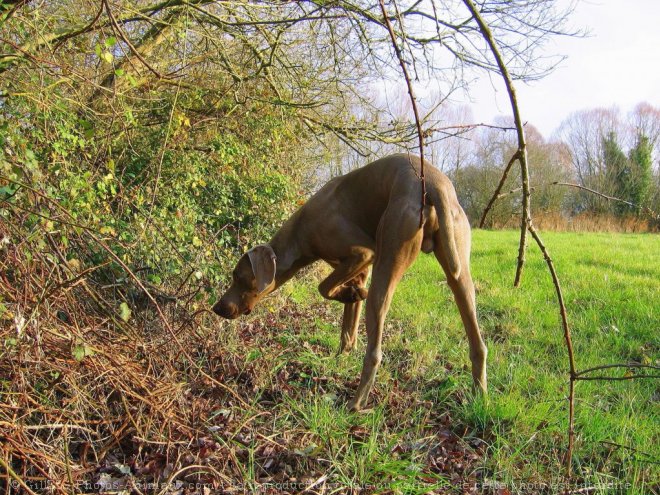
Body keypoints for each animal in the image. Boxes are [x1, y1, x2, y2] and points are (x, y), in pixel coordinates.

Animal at [214, 154, 488, 410]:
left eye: (237, 276)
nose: (217, 307)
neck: (299, 233)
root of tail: (432, 182)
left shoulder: (364, 253)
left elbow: (324, 287)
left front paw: (351, 296)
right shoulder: (357, 270)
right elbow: (348, 323)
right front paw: (342, 352)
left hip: (386, 266)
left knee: (375, 352)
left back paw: (355, 404)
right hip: (459, 271)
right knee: (478, 342)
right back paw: (479, 396)